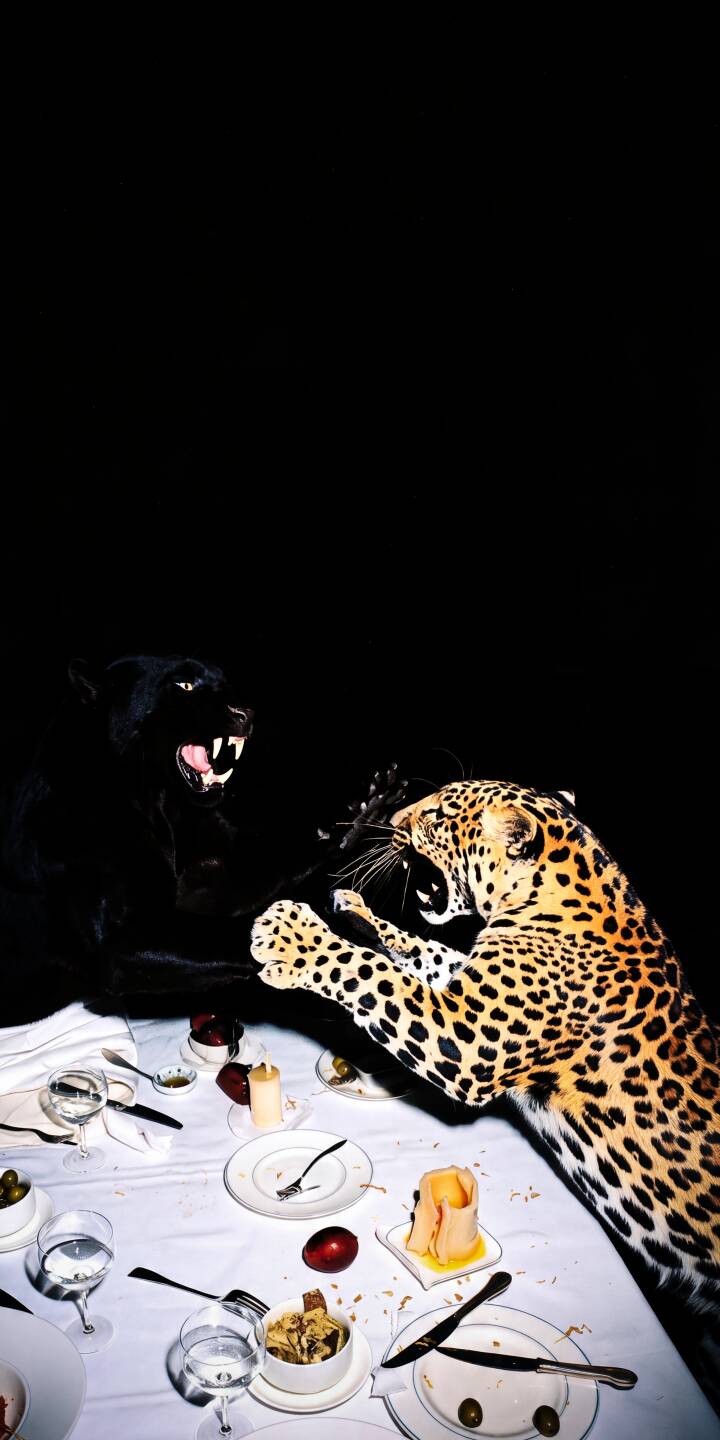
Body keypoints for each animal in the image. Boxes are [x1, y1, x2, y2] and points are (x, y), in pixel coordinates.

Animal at [252, 780, 720, 1340]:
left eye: (435, 817)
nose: (394, 819)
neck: (548, 892)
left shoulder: (466, 1034)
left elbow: (374, 974)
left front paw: (292, 937)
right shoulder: (463, 982)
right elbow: (422, 949)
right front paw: (355, 912)